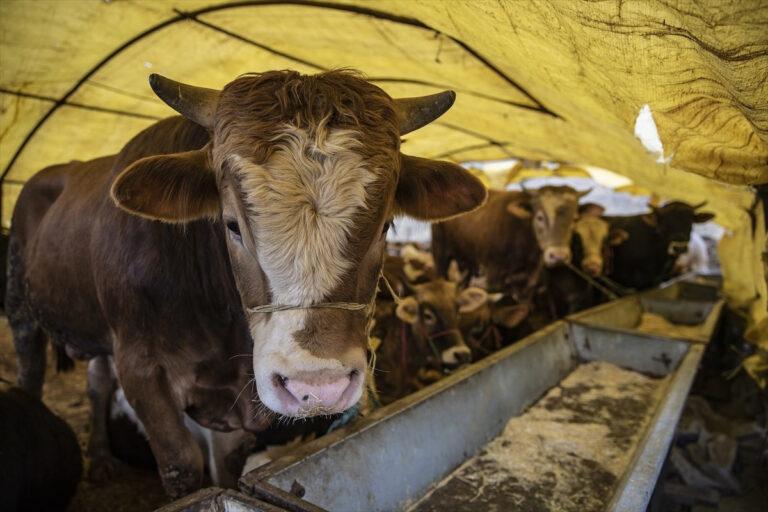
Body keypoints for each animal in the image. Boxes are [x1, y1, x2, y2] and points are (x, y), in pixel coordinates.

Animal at [9, 69, 484, 496]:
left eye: (385, 226)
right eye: (232, 225)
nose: (318, 387)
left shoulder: (238, 400)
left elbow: (227, 468)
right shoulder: (141, 367)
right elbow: (182, 464)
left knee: (97, 378)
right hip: (22, 313)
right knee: (37, 374)